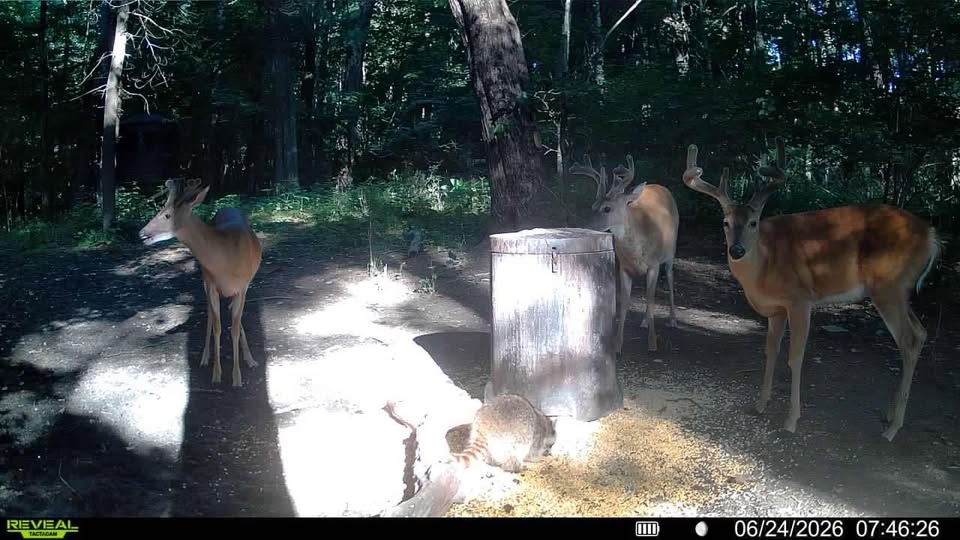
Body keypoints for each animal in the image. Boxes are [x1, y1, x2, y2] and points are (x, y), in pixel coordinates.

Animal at [139, 178, 263, 388]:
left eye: (167, 215)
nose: (141, 233)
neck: (225, 259)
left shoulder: (243, 287)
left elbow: (234, 328)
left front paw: (237, 377)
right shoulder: (211, 284)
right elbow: (217, 326)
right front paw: (217, 374)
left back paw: (250, 359)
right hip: (205, 280)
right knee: (211, 316)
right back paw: (205, 357)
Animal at [569, 153, 680, 355]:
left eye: (607, 208)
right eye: (593, 206)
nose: (584, 226)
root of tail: (660, 186)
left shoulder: (654, 265)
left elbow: (651, 300)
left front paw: (652, 344)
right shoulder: (624, 267)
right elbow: (624, 305)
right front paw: (617, 346)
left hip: (671, 252)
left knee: (669, 277)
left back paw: (673, 320)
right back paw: (644, 321)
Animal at [680, 138, 941, 441]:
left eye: (753, 222)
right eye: (725, 223)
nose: (737, 250)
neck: (765, 265)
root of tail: (931, 235)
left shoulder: (800, 299)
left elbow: (795, 357)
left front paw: (791, 420)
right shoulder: (776, 309)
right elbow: (770, 351)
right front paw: (760, 404)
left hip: (888, 285)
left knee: (908, 339)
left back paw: (892, 428)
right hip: (902, 289)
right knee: (920, 333)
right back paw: (889, 415)